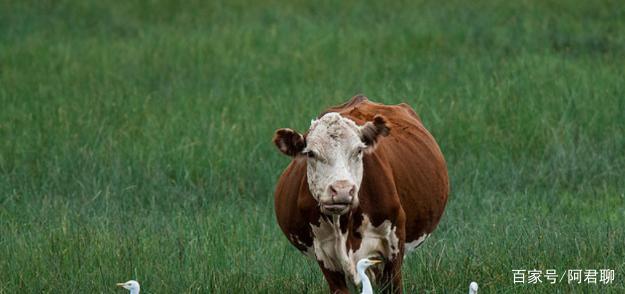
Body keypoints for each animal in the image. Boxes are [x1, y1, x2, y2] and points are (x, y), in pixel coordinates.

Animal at [272, 95, 448, 292]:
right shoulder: (325, 256)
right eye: (310, 153)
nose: (342, 190)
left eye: (358, 150)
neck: (343, 225)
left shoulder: (393, 246)